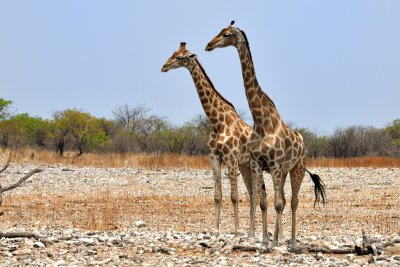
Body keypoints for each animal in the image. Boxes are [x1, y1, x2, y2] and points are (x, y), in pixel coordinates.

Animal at [162, 43, 260, 238]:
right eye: (173, 53)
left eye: (180, 57)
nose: (164, 67)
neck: (217, 122)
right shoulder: (214, 157)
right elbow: (217, 195)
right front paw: (215, 229)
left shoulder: (231, 158)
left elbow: (234, 196)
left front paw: (236, 230)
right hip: (244, 165)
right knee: (252, 193)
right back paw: (251, 230)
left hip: (253, 164)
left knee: (257, 194)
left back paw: (251, 231)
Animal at [206, 22, 324, 252]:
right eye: (218, 31)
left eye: (226, 34)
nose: (209, 45)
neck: (261, 121)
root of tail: (303, 144)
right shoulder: (256, 162)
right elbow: (263, 201)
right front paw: (264, 241)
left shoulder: (275, 164)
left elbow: (276, 203)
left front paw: (274, 243)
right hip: (283, 171)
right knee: (284, 199)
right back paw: (278, 239)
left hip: (296, 168)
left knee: (293, 201)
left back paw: (292, 243)